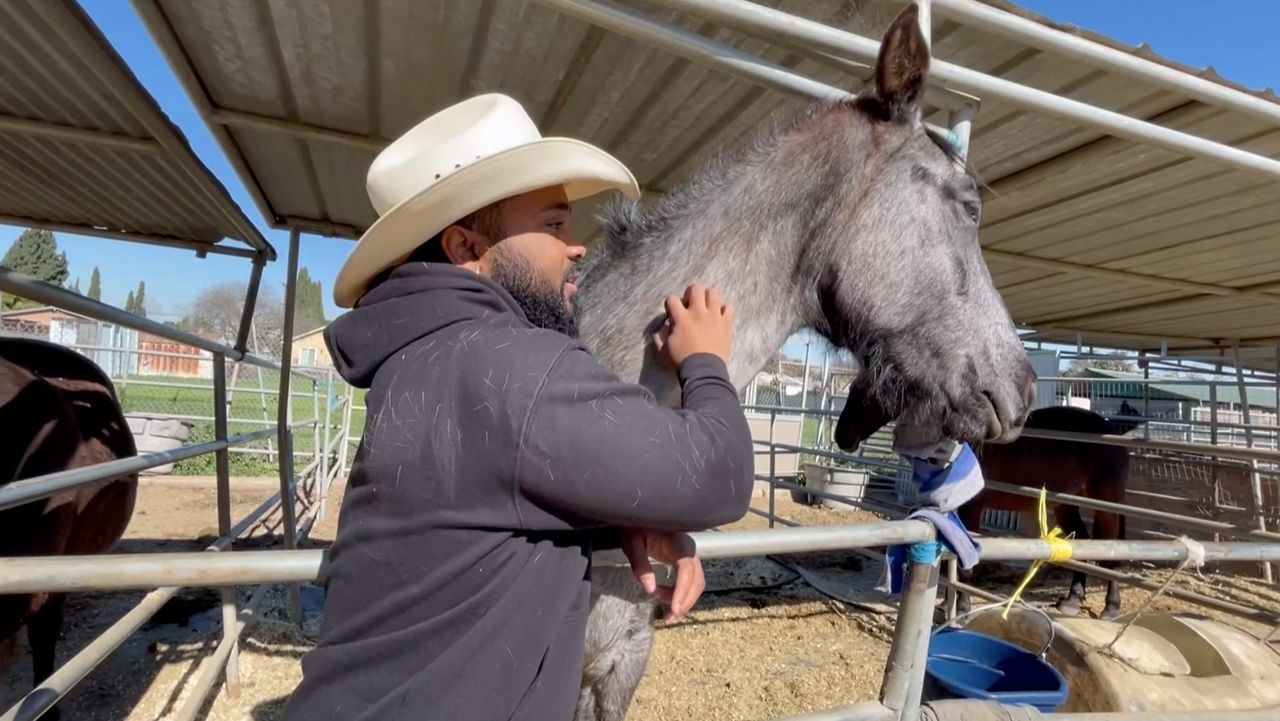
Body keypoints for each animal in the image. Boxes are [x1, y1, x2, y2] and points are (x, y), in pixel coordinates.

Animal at [957, 407, 1136, 619]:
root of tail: (1113, 432)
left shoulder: (970, 507)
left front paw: (961, 610)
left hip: (1106, 505)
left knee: (1111, 553)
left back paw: (1110, 607)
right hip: (1065, 504)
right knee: (1081, 540)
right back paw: (1073, 600)